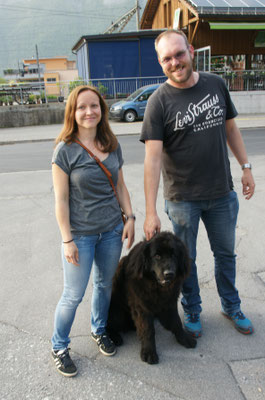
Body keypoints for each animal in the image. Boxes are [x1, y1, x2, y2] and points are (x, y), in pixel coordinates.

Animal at [106, 230, 196, 364]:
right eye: (157, 256)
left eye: (173, 255)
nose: (169, 274)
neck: (156, 287)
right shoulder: (141, 306)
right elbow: (147, 329)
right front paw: (149, 352)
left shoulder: (169, 302)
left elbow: (176, 322)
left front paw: (184, 338)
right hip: (117, 312)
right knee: (107, 324)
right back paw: (115, 338)